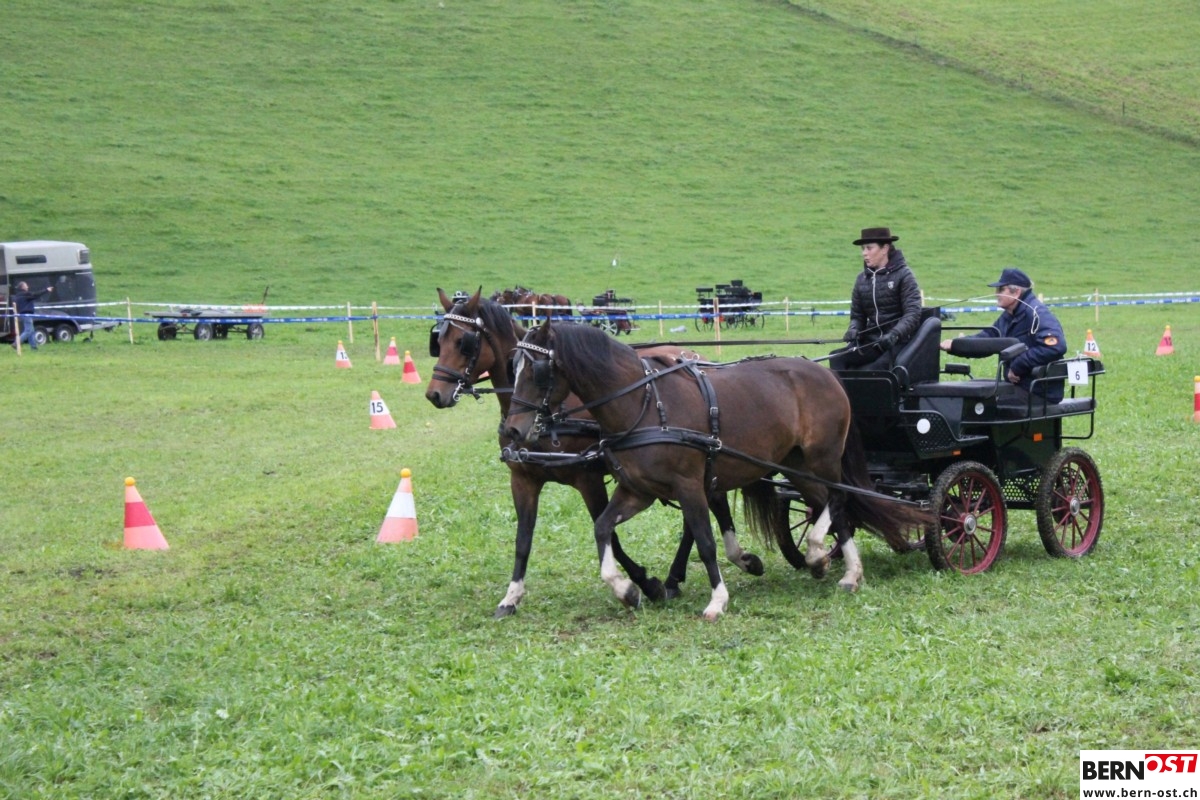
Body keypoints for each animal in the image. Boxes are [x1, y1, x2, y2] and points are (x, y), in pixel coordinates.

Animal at [425, 288, 761, 618]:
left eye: (463, 342)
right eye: (438, 340)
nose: (434, 394)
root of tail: (694, 357)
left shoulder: (589, 480)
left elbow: (610, 535)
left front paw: (642, 585)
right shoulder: (523, 480)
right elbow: (523, 540)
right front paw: (511, 597)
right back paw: (681, 576)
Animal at [503, 319, 933, 620]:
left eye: (538, 370)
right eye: (513, 365)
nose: (513, 430)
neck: (644, 404)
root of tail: (827, 374)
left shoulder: (689, 485)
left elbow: (705, 540)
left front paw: (717, 600)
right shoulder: (637, 491)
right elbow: (603, 528)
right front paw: (628, 590)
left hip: (822, 458)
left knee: (840, 498)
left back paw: (818, 553)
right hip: (796, 466)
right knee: (830, 506)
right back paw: (845, 570)